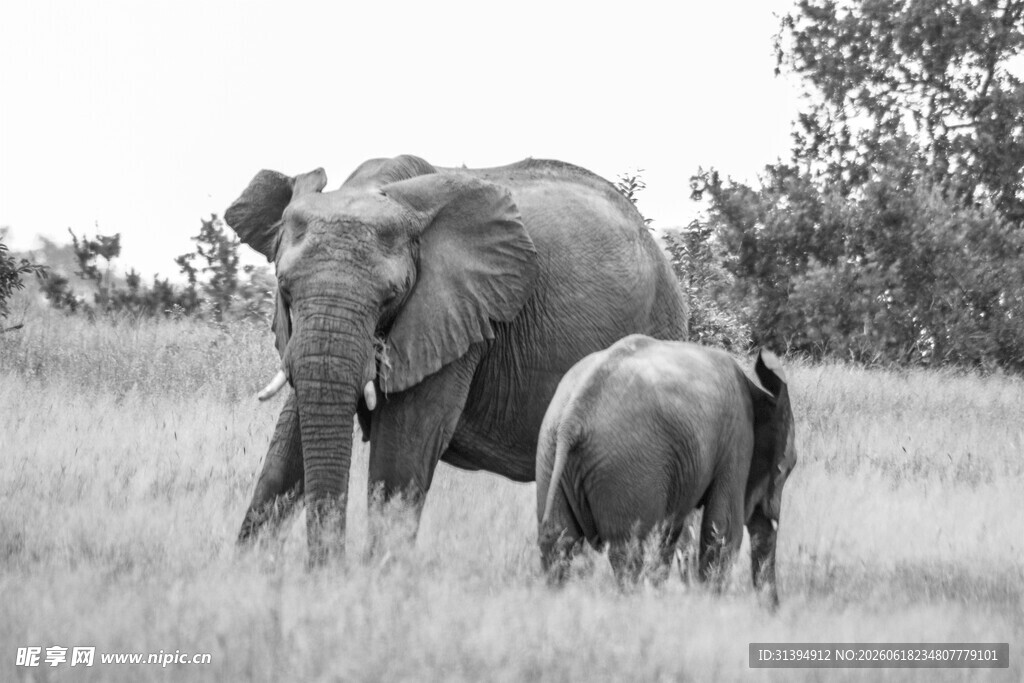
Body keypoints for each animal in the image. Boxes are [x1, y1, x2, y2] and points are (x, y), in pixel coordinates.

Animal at [224, 155, 688, 564]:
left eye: (391, 296)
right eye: (285, 288)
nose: (327, 567)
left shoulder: (458, 319)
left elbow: (400, 458)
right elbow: (283, 458)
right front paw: (249, 571)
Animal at [535, 335, 796, 605]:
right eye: (785, 469)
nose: (773, 609)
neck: (760, 392)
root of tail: (572, 416)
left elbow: (671, 535)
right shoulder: (737, 441)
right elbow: (723, 530)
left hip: (549, 452)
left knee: (559, 542)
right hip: (628, 467)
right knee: (629, 551)